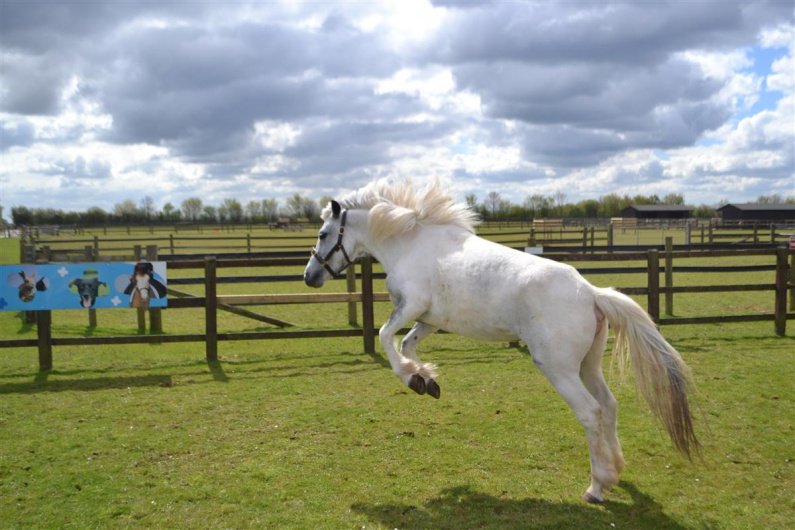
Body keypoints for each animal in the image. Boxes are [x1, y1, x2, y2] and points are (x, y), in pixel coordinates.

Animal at [303, 179, 699, 503]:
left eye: (323, 234)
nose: (310, 277)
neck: (411, 243)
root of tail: (591, 293)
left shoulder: (411, 306)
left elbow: (385, 338)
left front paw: (413, 377)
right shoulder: (428, 319)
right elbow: (407, 345)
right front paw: (425, 380)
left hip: (559, 369)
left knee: (591, 413)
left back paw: (597, 487)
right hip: (588, 366)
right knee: (610, 405)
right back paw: (615, 472)